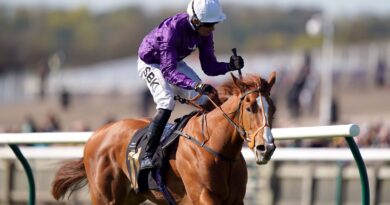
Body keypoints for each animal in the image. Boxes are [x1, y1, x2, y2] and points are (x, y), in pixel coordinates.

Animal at [52, 71, 278, 203]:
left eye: (273, 109)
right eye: (249, 108)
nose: (266, 148)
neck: (216, 148)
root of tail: (96, 135)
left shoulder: (236, 199)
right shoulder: (203, 196)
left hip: (131, 197)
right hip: (104, 197)